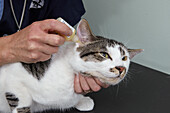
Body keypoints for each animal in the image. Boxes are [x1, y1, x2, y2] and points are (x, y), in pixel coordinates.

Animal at [0, 18, 142, 113]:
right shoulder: (13, 75)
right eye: (104, 54)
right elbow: (22, 101)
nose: (121, 68)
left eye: (124, 58)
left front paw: (82, 101)